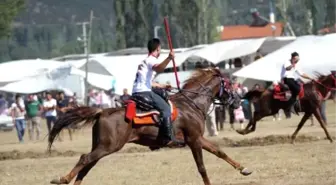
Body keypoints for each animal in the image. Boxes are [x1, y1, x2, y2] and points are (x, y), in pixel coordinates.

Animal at [48, 68, 252, 185]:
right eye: (229, 84)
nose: (237, 101)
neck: (192, 104)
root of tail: (101, 111)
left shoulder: (198, 138)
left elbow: (219, 152)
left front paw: (244, 169)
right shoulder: (194, 139)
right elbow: (202, 167)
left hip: (101, 146)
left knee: (86, 166)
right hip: (108, 146)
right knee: (84, 159)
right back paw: (63, 179)